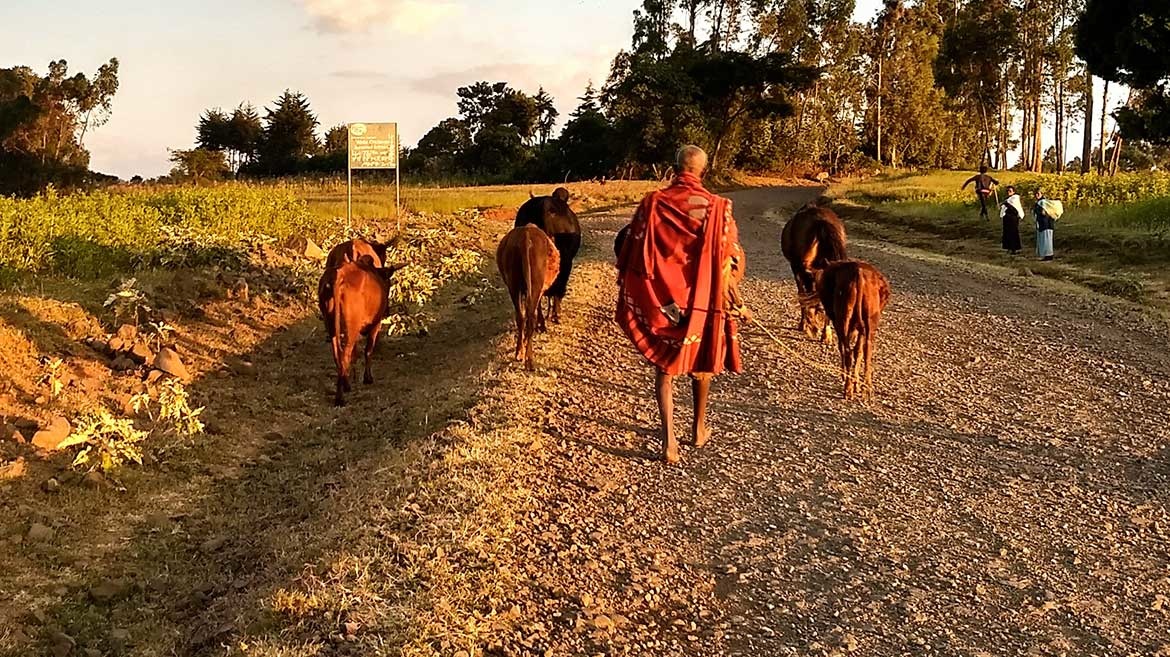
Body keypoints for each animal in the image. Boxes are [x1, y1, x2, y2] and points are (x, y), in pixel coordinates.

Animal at [318, 254, 390, 404]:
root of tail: (338, 275)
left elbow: (355, 354)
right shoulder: (376, 324)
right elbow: (368, 350)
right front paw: (367, 378)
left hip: (331, 325)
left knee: (337, 355)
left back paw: (345, 384)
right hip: (351, 328)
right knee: (345, 354)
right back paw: (340, 397)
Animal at [496, 223, 559, 369]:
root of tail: (525, 236)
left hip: (514, 286)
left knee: (521, 316)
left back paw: (519, 352)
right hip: (535, 285)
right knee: (530, 316)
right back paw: (529, 359)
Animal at [781, 202, 847, 339]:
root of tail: (821, 222)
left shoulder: (797, 269)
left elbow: (802, 295)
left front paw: (805, 324)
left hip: (802, 269)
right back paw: (826, 334)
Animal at [809, 260, 889, 399]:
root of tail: (858, 273)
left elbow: (844, 347)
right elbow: (858, 351)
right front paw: (856, 383)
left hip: (843, 320)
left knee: (847, 351)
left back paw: (848, 388)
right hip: (869, 322)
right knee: (866, 352)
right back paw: (866, 388)